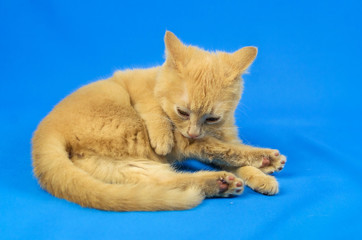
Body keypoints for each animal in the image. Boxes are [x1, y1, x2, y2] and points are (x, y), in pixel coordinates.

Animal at [31, 31, 286, 211]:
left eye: (212, 118)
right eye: (182, 112)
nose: (193, 132)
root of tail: (45, 130)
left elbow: (234, 157)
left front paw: (261, 176)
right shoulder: (151, 103)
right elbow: (223, 148)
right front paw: (265, 162)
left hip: (126, 167)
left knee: (163, 184)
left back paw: (222, 183)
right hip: (135, 129)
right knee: (198, 151)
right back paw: (258, 161)